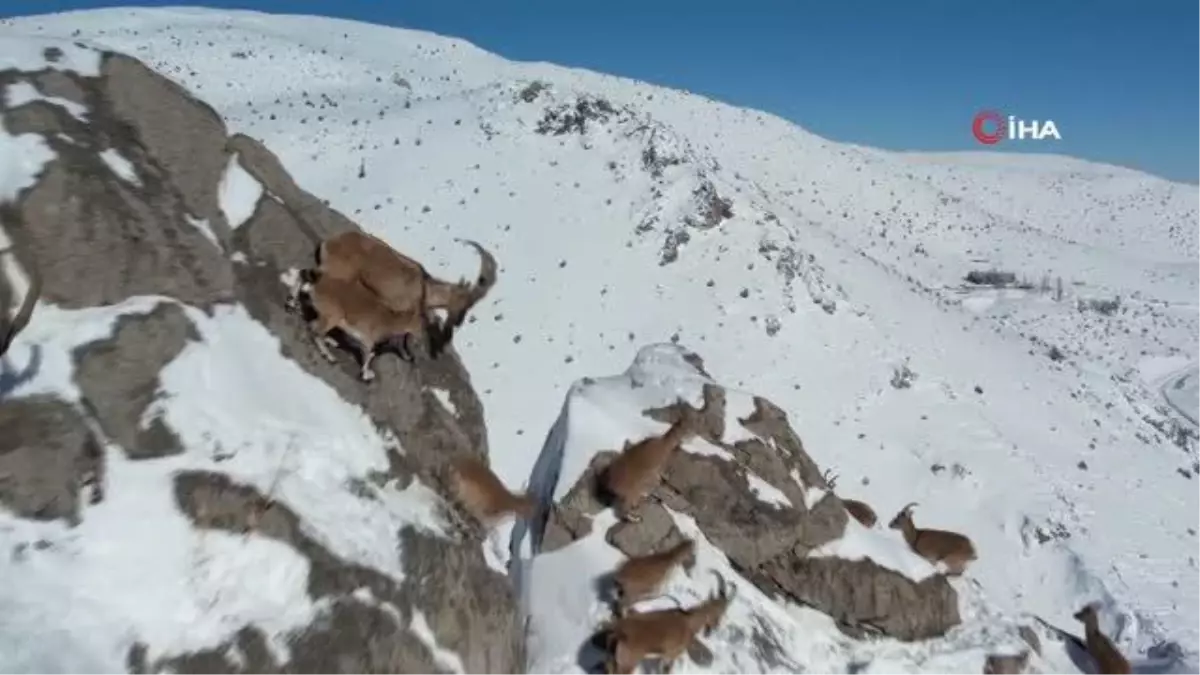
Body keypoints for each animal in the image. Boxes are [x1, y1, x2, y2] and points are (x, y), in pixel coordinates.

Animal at [288, 228, 499, 353]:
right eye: (463, 300)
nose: (458, 322)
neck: (424, 289)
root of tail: (330, 241)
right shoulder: (397, 307)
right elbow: (401, 332)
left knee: (304, 274)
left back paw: (293, 304)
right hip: (334, 271)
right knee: (307, 276)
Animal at [295, 271, 427, 379]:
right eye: (420, 323)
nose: (421, 339)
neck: (389, 321)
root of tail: (315, 286)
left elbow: (371, 354)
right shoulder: (367, 341)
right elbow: (369, 355)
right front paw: (367, 375)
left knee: (313, 326)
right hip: (333, 317)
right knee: (315, 330)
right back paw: (330, 357)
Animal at [604, 566, 734, 672]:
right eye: (722, 612)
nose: (714, 627)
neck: (689, 622)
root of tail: (618, 632)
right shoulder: (670, 656)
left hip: (614, 660)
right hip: (627, 665)